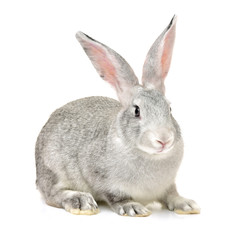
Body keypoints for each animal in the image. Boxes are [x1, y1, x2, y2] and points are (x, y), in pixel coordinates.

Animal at [35, 15, 201, 217]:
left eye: (169, 109)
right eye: (137, 111)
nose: (164, 139)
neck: (150, 156)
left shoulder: (168, 185)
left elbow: (171, 194)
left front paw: (186, 204)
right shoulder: (102, 179)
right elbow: (116, 196)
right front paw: (134, 208)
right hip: (53, 168)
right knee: (52, 193)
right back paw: (81, 202)